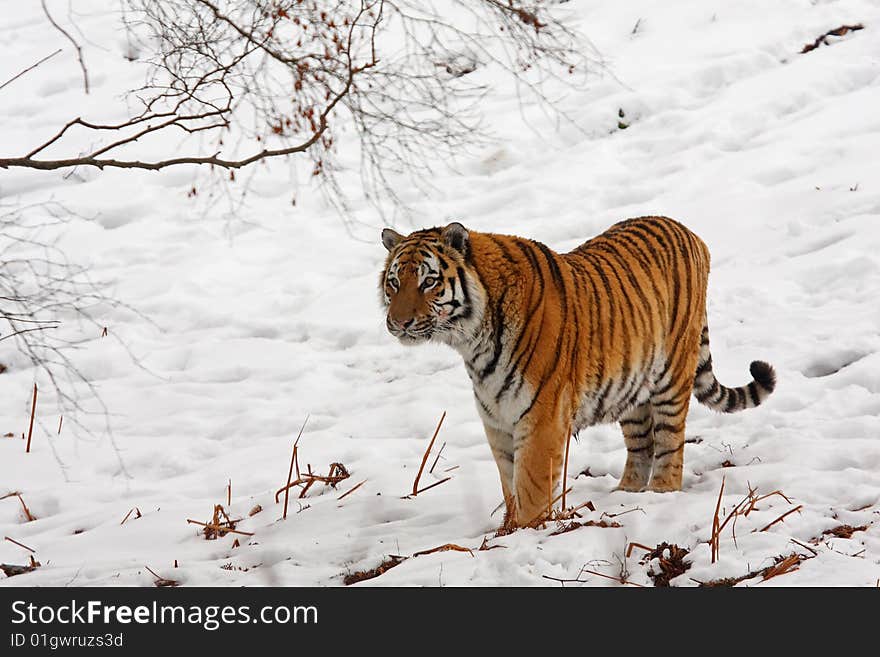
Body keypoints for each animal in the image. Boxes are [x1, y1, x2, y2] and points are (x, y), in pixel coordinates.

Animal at [378, 218, 776, 532]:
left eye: (428, 282)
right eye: (394, 283)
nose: (398, 322)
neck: (472, 341)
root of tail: (688, 231)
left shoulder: (541, 418)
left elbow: (531, 486)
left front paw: (526, 532)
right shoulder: (497, 420)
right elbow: (510, 482)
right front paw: (507, 530)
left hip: (672, 374)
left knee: (669, 443)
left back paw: (661, 491)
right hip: (631, 384)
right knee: (641, 443)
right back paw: (627, 493)